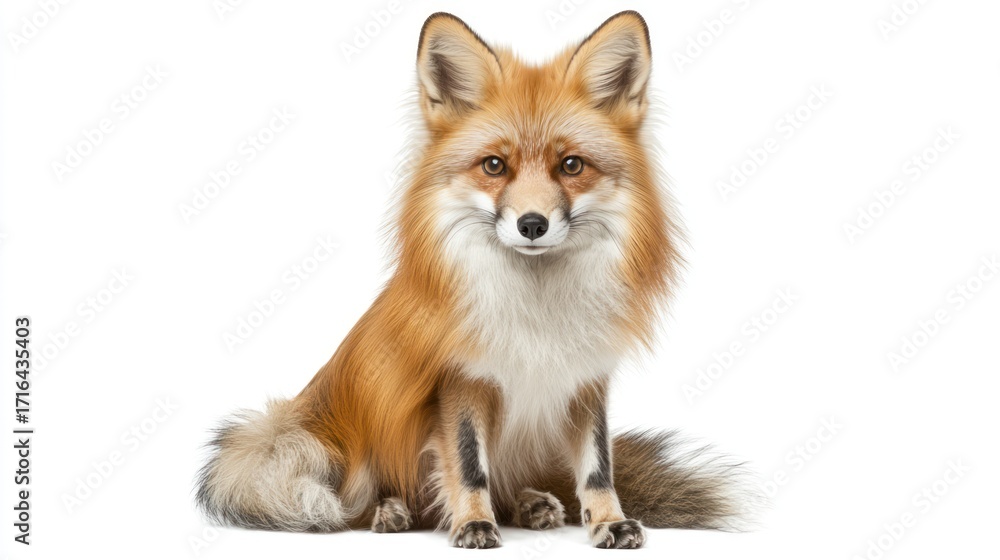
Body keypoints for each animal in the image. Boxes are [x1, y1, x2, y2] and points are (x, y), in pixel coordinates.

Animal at [196, 11, 750, 549]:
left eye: (571, 165)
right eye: (495, 165)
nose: (532, 224)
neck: (539, 311)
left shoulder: (586, 379)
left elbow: (598, 467)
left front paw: (608, 522)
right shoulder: (461, 379)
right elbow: (467, 465)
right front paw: (473, 524)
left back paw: (530, 504)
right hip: (355, 441)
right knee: (363, 501)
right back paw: (391, 512)